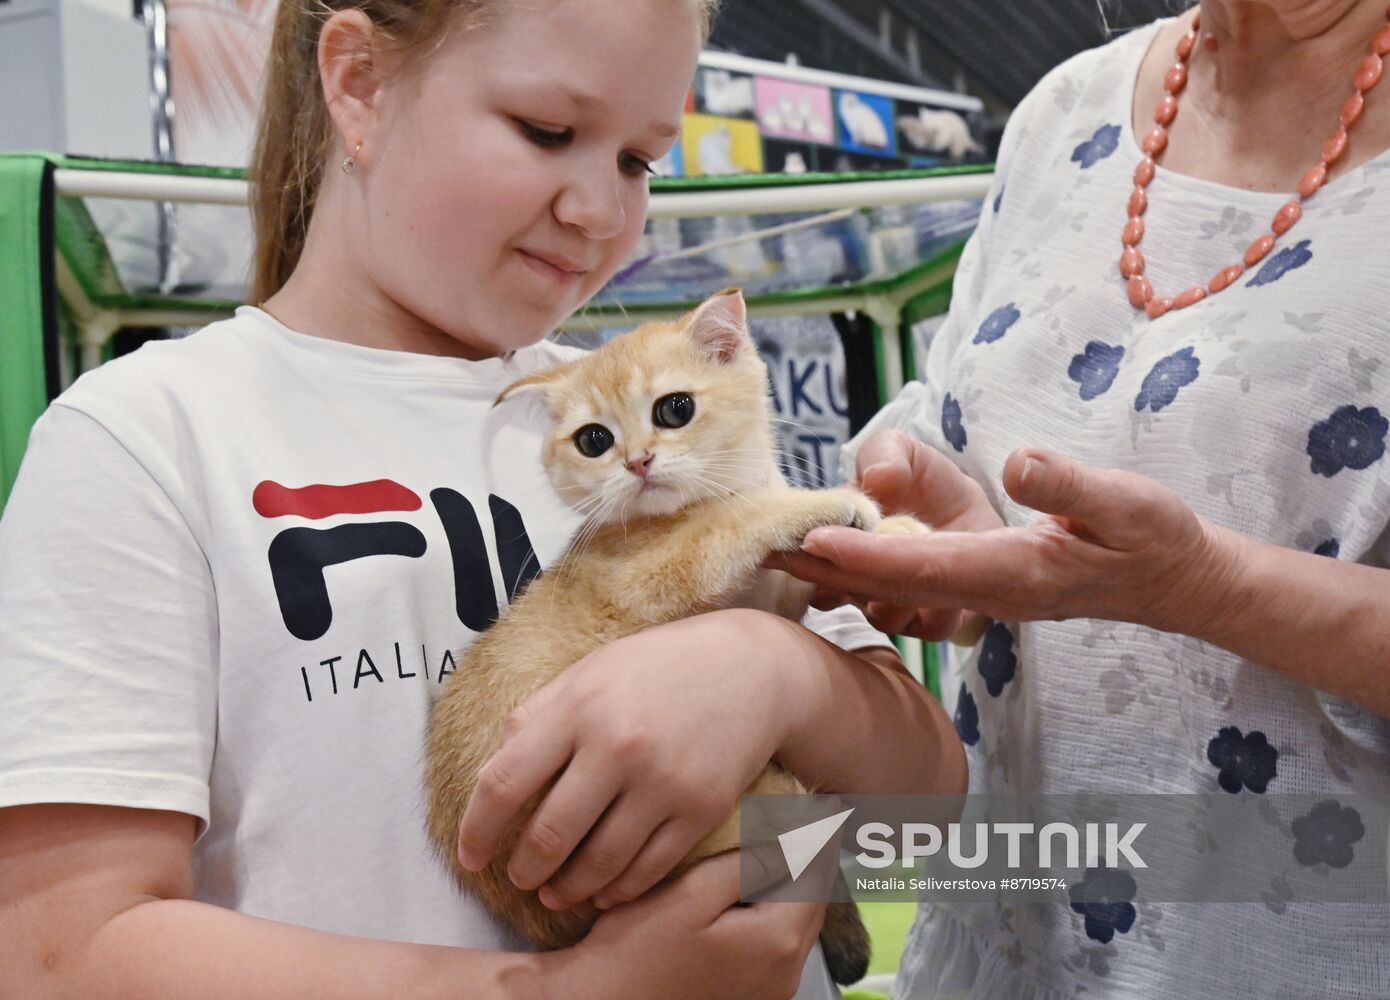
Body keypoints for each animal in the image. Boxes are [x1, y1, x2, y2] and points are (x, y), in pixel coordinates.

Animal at [422, 289, 922, 984]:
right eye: (594, 440)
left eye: (675, 408)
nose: (637, 460)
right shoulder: (656, 573)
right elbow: (731, 522)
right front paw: (828, 502)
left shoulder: (774, 598)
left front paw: (897, 533)